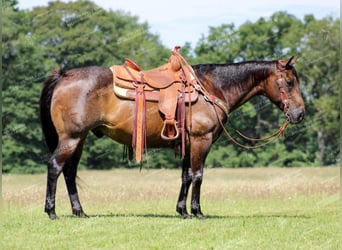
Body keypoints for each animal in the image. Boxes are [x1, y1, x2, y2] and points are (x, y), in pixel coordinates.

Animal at [39, 56, 304, 219]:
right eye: (290, 82)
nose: (300, 114)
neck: (212, 89)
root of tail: (64, 75)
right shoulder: (201, 140)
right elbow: (198, 175)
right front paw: (197, 211)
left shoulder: (187, 143)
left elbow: (186, 176)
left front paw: (182, 211)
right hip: (71, 138)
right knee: (55, 167)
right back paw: (51, 211)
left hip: (80, 139)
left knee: (69, 172)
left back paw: (79, 211)